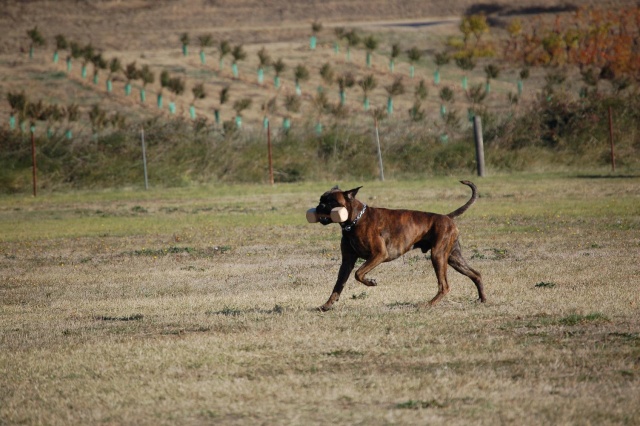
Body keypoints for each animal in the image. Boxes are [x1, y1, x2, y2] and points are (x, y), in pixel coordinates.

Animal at [316, 180, 484, 310]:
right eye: (321, 199)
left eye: (330, 201)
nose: (319, 206)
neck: (355, 219)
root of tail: (447, 217)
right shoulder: (347, 262)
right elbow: (338, 285)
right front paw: (327, 305)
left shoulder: (378, 254)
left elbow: (358, 273)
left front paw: (371, 282)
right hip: (453, 258)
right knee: (476, 274)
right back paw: (482, 299)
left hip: (438, 256)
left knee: (444, 286)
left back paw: (429, 304)